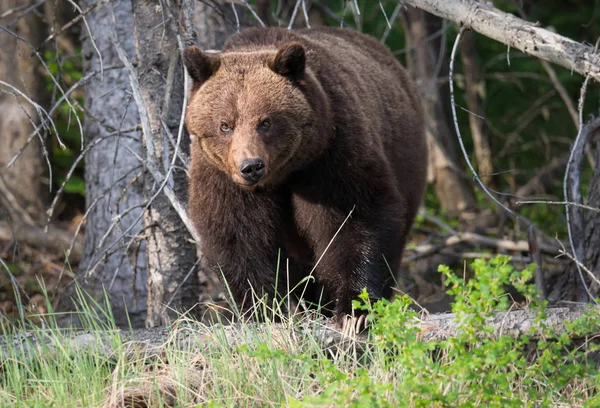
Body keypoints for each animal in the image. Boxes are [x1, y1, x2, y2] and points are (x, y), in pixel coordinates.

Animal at [183, 27, 426, 324]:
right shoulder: (221, 176)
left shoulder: (330, 154)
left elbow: (355, 218)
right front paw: (261, 308)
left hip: (406, 162)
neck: (282, 175)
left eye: (265, 122)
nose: (251, 166)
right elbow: (236, 234)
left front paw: (354, 308)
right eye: (225, 125)